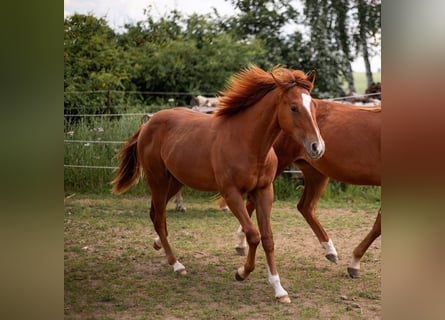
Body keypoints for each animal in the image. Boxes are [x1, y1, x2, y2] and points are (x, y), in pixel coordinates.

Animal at [112, 65, 322, 302]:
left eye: (314, 105)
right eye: (294, 107)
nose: (317, 147)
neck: (248, 142)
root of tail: (148, 123)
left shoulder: (264, 191)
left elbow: (268, 238)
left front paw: (279, 290)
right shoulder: (231, 194)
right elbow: (253, 234)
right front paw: (242, 272)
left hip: (175, 181)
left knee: (156, 214)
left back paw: (159, 245)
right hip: (157, 180)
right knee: (158, 217)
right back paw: (177, 264)